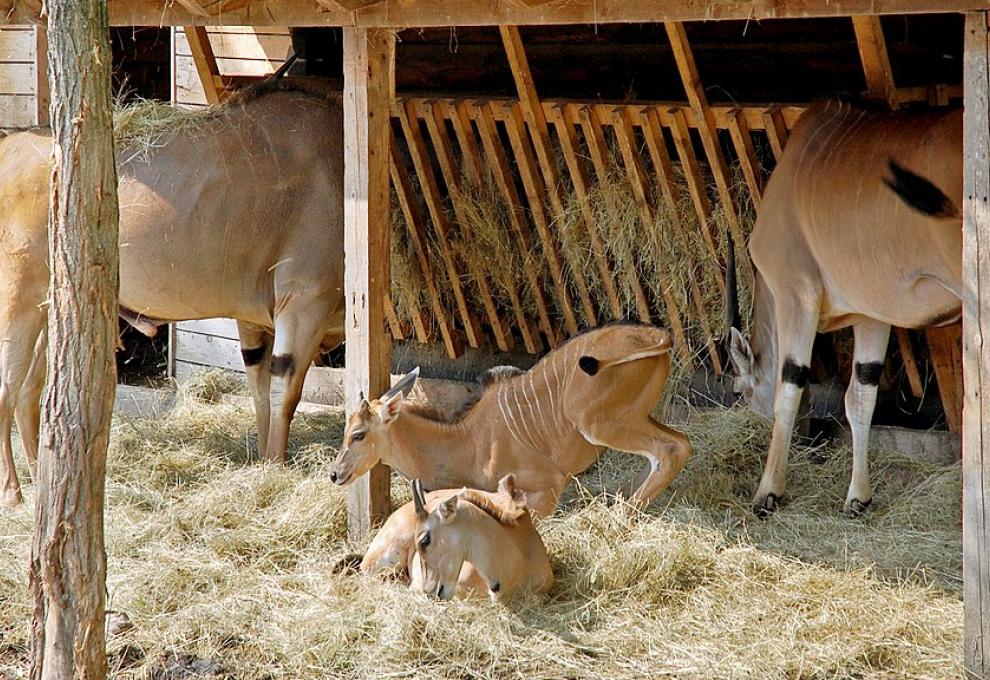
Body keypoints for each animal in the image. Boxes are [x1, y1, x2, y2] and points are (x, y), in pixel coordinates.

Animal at [0, 79, 348, 504]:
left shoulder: (254, 322)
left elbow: (260, 395)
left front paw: (264, 463)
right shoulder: (303, 305)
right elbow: (286, 397)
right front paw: (277, 467)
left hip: (51, 309)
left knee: (29, 392)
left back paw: (40, 477)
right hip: (18, 300)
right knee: (6, 390)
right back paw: (13, 491)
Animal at [330, 324, 692, 516]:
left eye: (359, 434)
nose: (335, 474)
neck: (467, 443)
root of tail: (656, 337)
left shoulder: (549, 486)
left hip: (599, 425)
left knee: (671, 450)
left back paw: (621, 514)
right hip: (634, 417)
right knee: (676, 445)